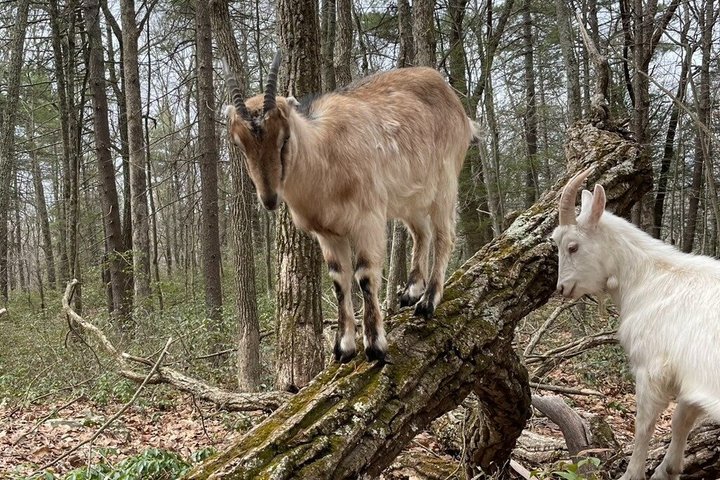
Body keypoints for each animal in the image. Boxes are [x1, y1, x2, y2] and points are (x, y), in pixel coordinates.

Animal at [223, 52, 480, 363]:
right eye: (239, 144)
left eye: (284, 137)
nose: (270, 198)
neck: (324, 155)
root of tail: (455, 103)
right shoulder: (327, 233)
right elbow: (338, 280)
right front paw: (343, 347)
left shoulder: (367, 219)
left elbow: (364, 275)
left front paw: (375, 345)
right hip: (410, 197)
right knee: (422, 233)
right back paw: (411, 291)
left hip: (445, 181)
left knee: (444, 236)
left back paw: (428, 300)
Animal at [553, 168, 720, 480]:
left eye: (572, 246)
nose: (562, 288)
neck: (650, 278)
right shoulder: (691, 379)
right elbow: (681, 419)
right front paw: (669, 469)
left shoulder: (650, 368)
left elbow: (644, 426)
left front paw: (633, 473)